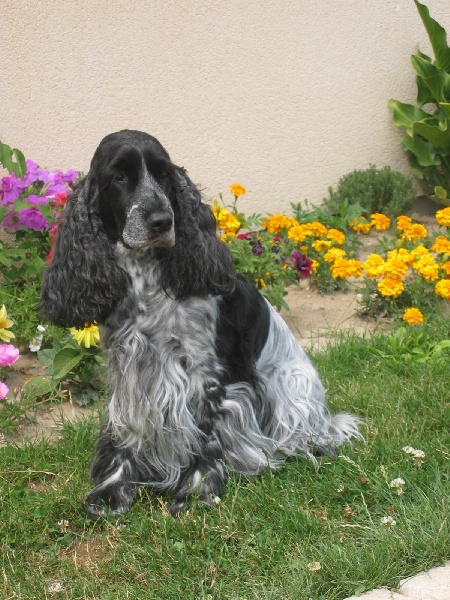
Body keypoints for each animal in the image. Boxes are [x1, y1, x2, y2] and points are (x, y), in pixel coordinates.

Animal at [38, 130, 362, 516]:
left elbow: (206, 434)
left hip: (292, 380)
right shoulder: (129, 370)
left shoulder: (205, 373)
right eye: (118, 177)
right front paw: (113, 489)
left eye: (164, 175)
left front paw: (195, 491)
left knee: (309, 432)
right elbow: (127, 431)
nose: (162, 221)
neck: (145, 278)